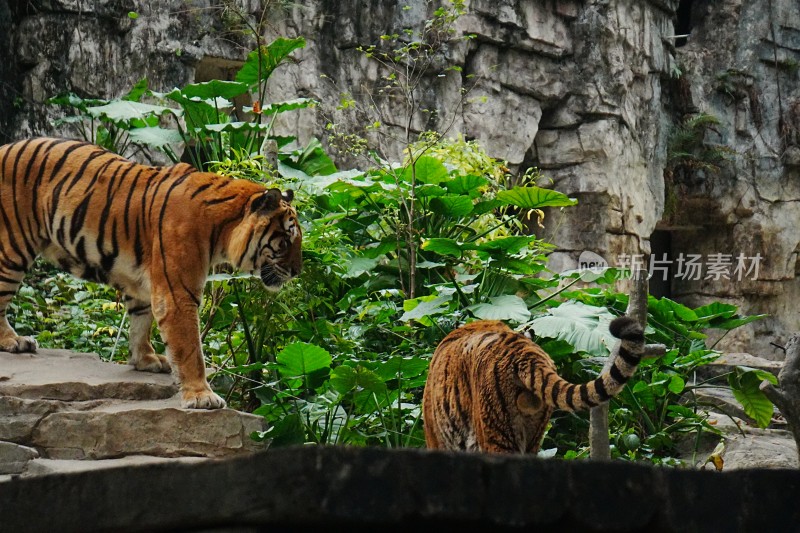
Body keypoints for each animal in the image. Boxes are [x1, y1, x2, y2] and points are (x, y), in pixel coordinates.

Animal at [0, 136, 302, 408]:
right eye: (286, 241)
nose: (297, 271)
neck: (223, 229)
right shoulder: (178, 294)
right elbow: (190, 349)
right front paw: (201, 396)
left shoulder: (142, 283)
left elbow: (140, 321)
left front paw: (145, 359)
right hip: (12, 248)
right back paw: (14, 341)